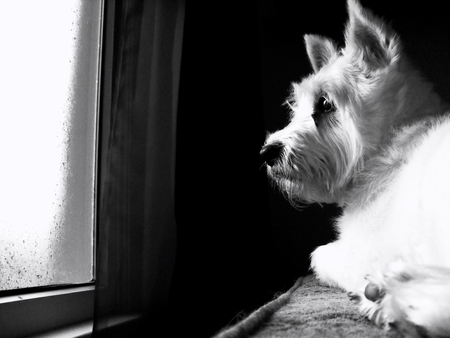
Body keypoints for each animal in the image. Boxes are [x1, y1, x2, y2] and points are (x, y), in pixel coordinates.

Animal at [262, 1, 450, 336]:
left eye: (325, 104)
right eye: (295, 107)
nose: (267, 152)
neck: (390, 147)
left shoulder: (366, 252)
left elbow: (317, 254)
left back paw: (394, 302)